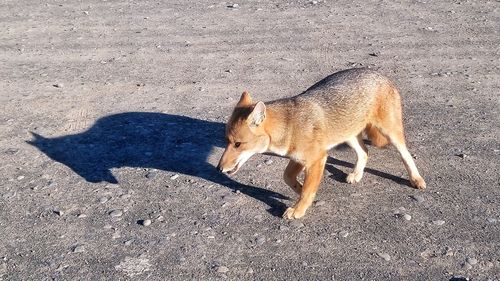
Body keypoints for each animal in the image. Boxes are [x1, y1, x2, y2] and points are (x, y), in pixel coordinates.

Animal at [216, 68, 426, 219]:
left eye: (238, 144)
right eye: (227, 142)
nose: (218, 169)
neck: (290, 124)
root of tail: (380, 74)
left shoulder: (317, 159)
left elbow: (308, 190)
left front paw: (298, 209)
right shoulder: (299, 158)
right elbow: (288, 178)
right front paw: (298, 189)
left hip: (390, 133)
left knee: (405, 154)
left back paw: (416, 178)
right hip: (347, 134)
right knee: (365, 151)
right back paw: (357, 174)